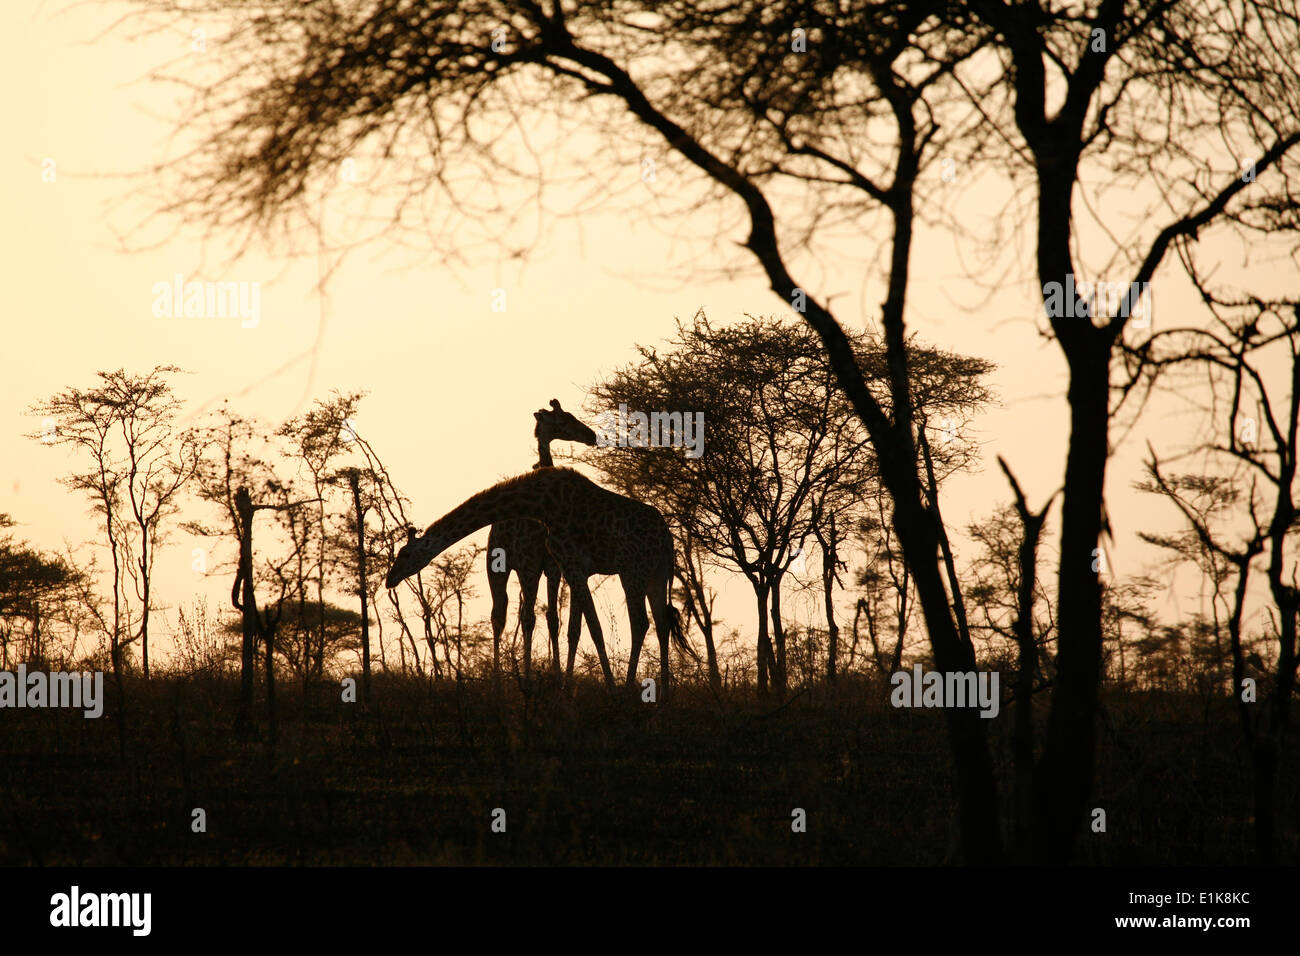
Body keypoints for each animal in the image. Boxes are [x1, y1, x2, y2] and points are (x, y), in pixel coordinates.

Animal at [386, 467, 695, 695]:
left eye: (404, 553)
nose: (390, 579)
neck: (541, 504)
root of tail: (667, 540)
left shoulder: (572, 563)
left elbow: (593, 628)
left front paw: (610, 688)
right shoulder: (571, 568)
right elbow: (579, 628)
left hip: (632, 571)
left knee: (640, 622)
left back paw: (630, 690)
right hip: (657, 574)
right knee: (662, 622)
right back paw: (665, 694)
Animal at [486, 399, 597, 680]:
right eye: (564, 419)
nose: (591, 435)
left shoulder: (551, 567)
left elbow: (552, 618)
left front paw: (556, 674)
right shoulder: (532, 565)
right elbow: (530, 619)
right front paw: (530, 676)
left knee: (508, 613)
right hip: (500, 567)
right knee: (502, 616)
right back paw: (499, 678)